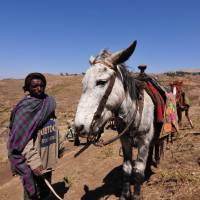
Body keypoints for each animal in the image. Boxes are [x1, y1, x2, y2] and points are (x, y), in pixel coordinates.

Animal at [74, 41, 159, 200]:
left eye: (101, 82)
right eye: (83, 83)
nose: (78, 127)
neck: (134, 113)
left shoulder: (144, 141)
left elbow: (138, 172)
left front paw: (136, 195)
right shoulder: (124, 140)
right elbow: (127, 169)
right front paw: (125, 195)